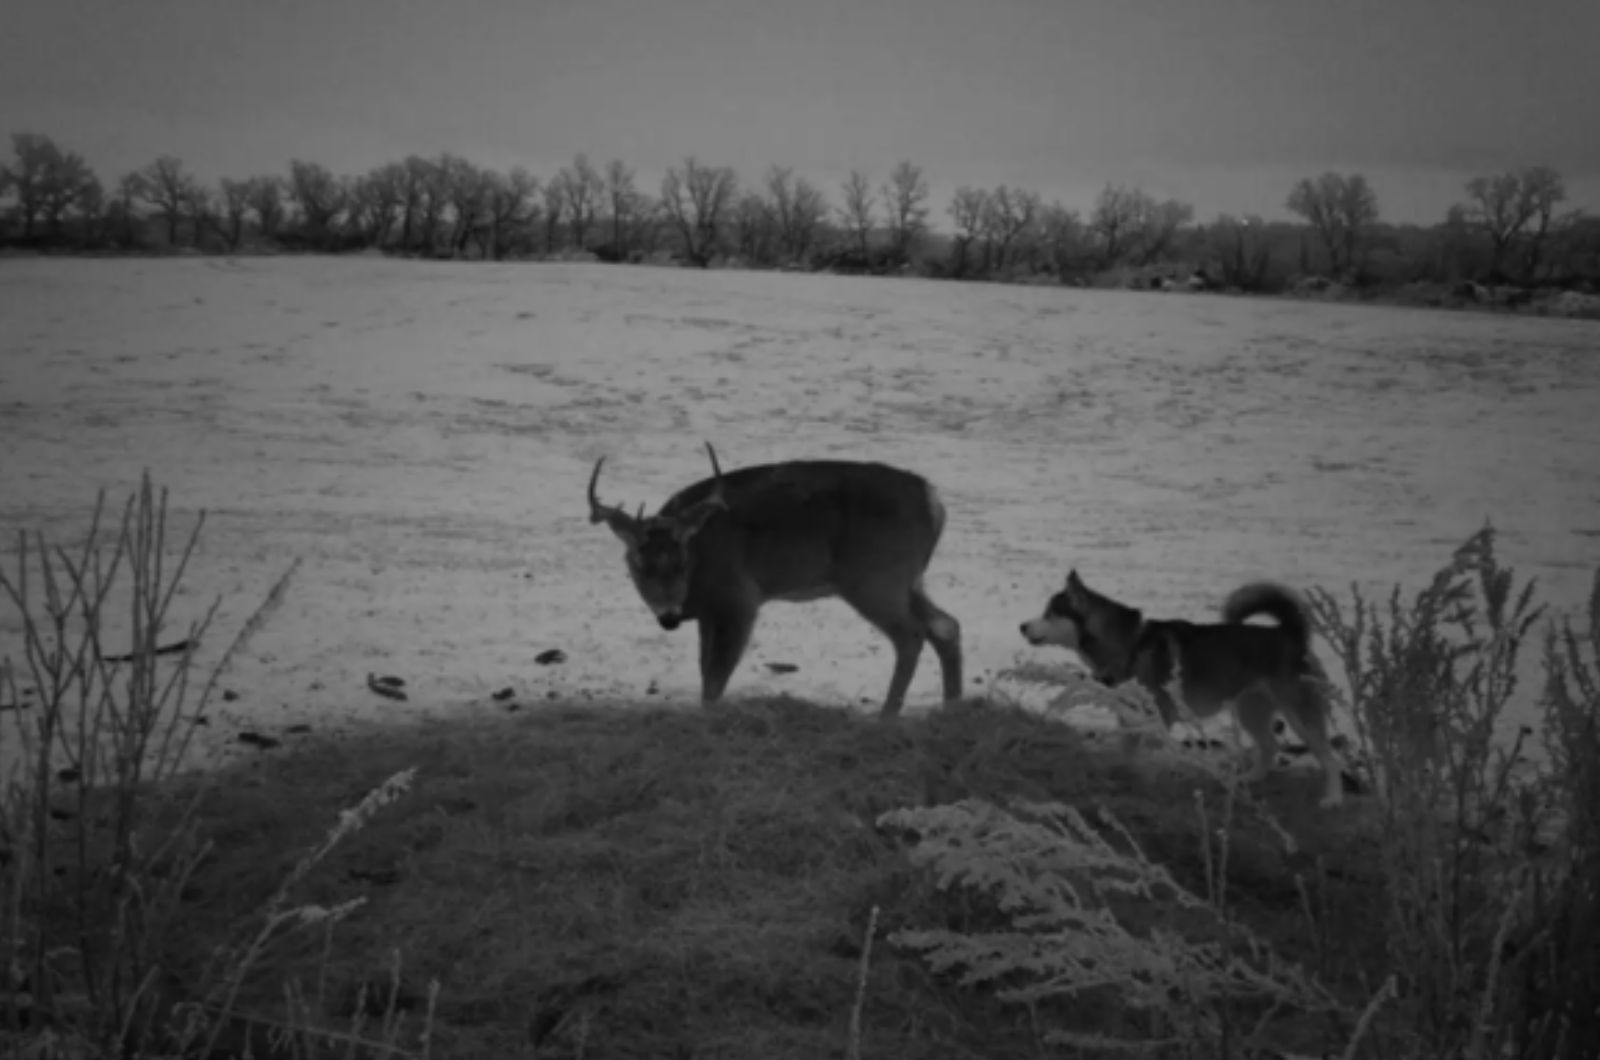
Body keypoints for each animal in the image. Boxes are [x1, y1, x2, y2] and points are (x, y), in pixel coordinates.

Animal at [592, 445, 953, 717]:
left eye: (682, 562)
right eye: (638, 564)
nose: (668, 618)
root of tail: (934, 501)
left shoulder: (739, 598)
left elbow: (715, 677)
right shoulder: (710, 613)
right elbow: (705, 669)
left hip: (876, 578)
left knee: (912, 635)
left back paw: (887, 715)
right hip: (908, 580)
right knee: (945, 625)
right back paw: (952, 707)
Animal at [1017, 576, 1344, 810]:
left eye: (1050, 613)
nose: (1021, 626)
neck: (1130, 645)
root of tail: (1291, 634)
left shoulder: (1158, 717)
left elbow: (1147, 753)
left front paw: (1145, 781)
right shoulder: (1131, 717)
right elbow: (1127, 751)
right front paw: (1123, 775)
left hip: (1300, 714)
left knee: (1328, 757)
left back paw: (1332, 798)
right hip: (1251, 709)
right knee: (1269, 746)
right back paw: (1249, 779)